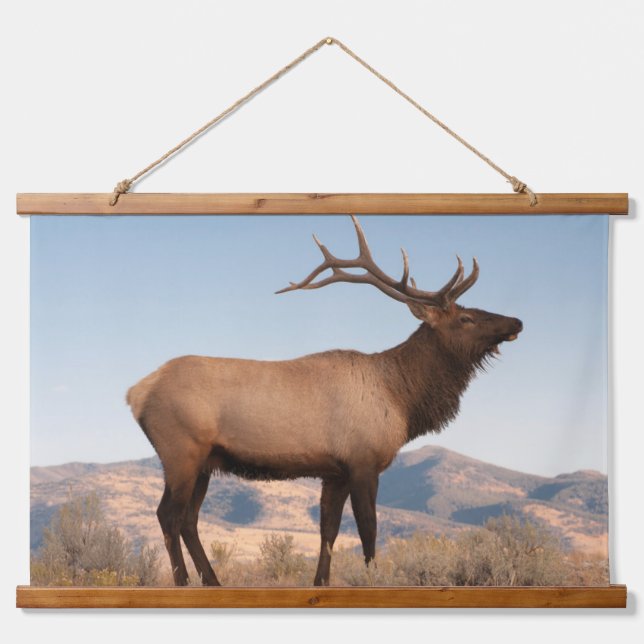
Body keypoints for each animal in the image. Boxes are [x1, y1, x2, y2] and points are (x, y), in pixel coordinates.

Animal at [127, 216, 523, 586]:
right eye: (466, 317)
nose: (516, 321)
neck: (401, 399)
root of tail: (136, 393)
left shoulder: (335, 471)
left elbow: (328, 530)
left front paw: (321, 581)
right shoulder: (363, 461)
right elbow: (368, 530)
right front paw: (372, 580)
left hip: (205, 462)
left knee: (189, 519)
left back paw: (213, 580)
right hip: (181, 452)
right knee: (168, 515)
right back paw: (183, 581)